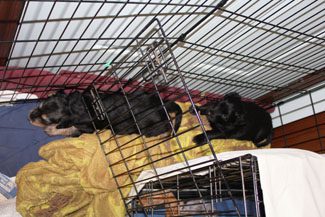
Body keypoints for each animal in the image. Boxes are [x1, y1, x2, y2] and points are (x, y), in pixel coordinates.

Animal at [28, 90, 182, 137]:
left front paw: (51, 130)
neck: (74, 106)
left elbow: (69, 129)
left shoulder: (86, 128)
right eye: (39, 106)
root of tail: (163, 105)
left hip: (150, 128)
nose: (29, 117)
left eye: (46, 120)